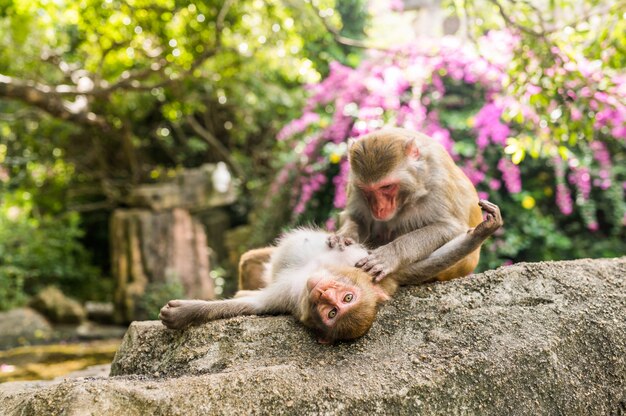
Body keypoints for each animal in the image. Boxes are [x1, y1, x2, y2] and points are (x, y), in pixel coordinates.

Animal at [158, 200, 500, 342]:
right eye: (345, 297)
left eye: (333, 312)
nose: (323, 292)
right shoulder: (372, 269)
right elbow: (410, 268)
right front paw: (481, 232)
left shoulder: (287, 300)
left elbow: (251, 306)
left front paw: (185, 313)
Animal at [330, 127, 486, 284]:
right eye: (366, 189)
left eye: (386, 187)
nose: (378, 209)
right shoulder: (354, 184)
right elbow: (357, 217)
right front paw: (344, 236)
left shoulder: (438, 178)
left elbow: (450, 227)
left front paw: (390, 255)